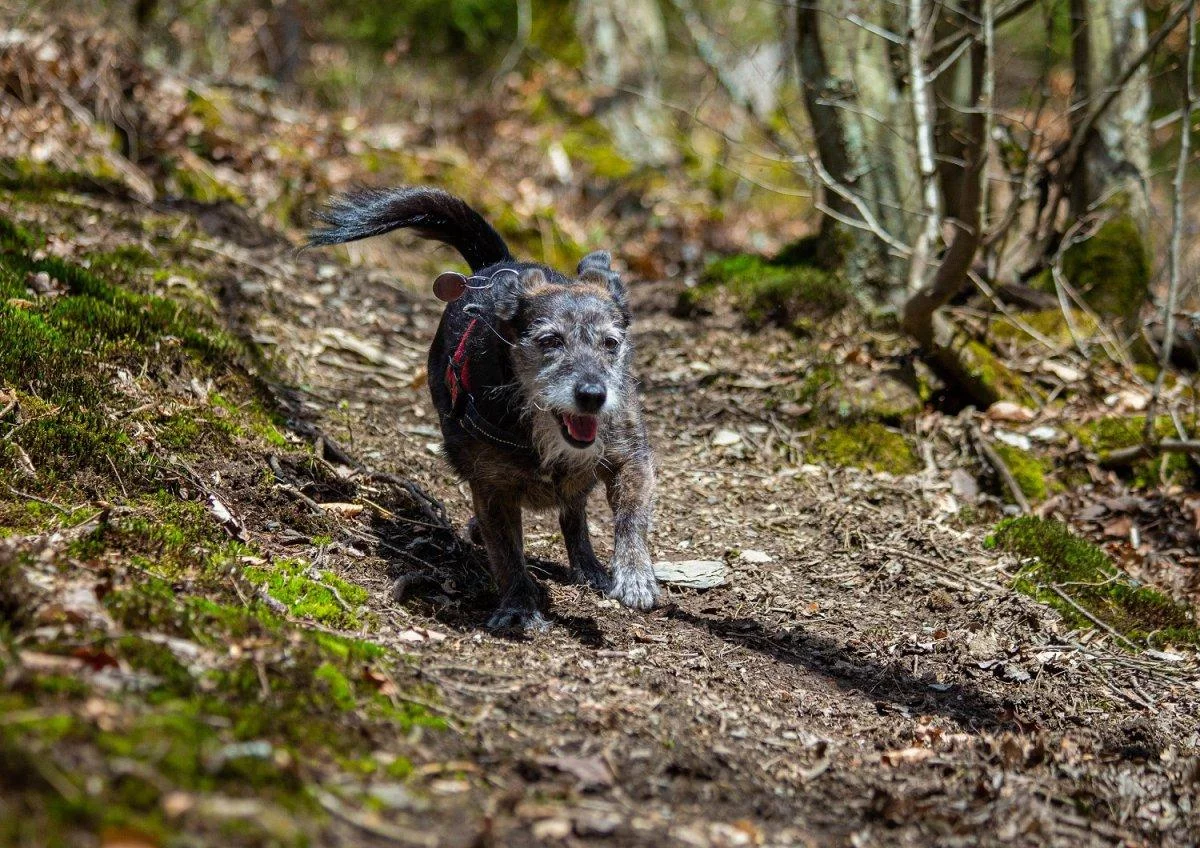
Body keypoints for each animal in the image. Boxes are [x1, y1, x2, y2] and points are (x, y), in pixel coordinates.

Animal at [309, 189, 662, 633]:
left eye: (611, 343)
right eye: (549, 341)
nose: (593, 395)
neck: (537, 425)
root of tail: (497, 266)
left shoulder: (630, 458)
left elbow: (632, 517)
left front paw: (634, 575)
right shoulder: (491, 487)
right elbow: (507, 552)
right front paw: (519, 607)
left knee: (573, 514)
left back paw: (589, 567)